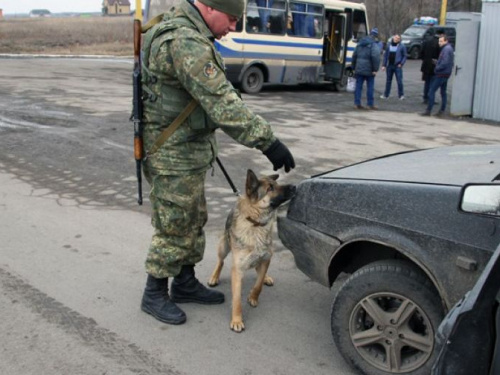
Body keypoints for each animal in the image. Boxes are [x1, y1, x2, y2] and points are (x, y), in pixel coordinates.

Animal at [208, 170, 294, 332]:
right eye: (270, 188)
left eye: (277, 184)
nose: (294, 186)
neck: (256, 224)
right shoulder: (237, 270)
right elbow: (236, 299)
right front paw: (237, 320)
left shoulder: (266, 259)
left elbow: (258, 284)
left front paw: (253, 297)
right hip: (224, 246)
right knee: (220, 261)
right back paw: (214, 277)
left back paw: (266, 277)